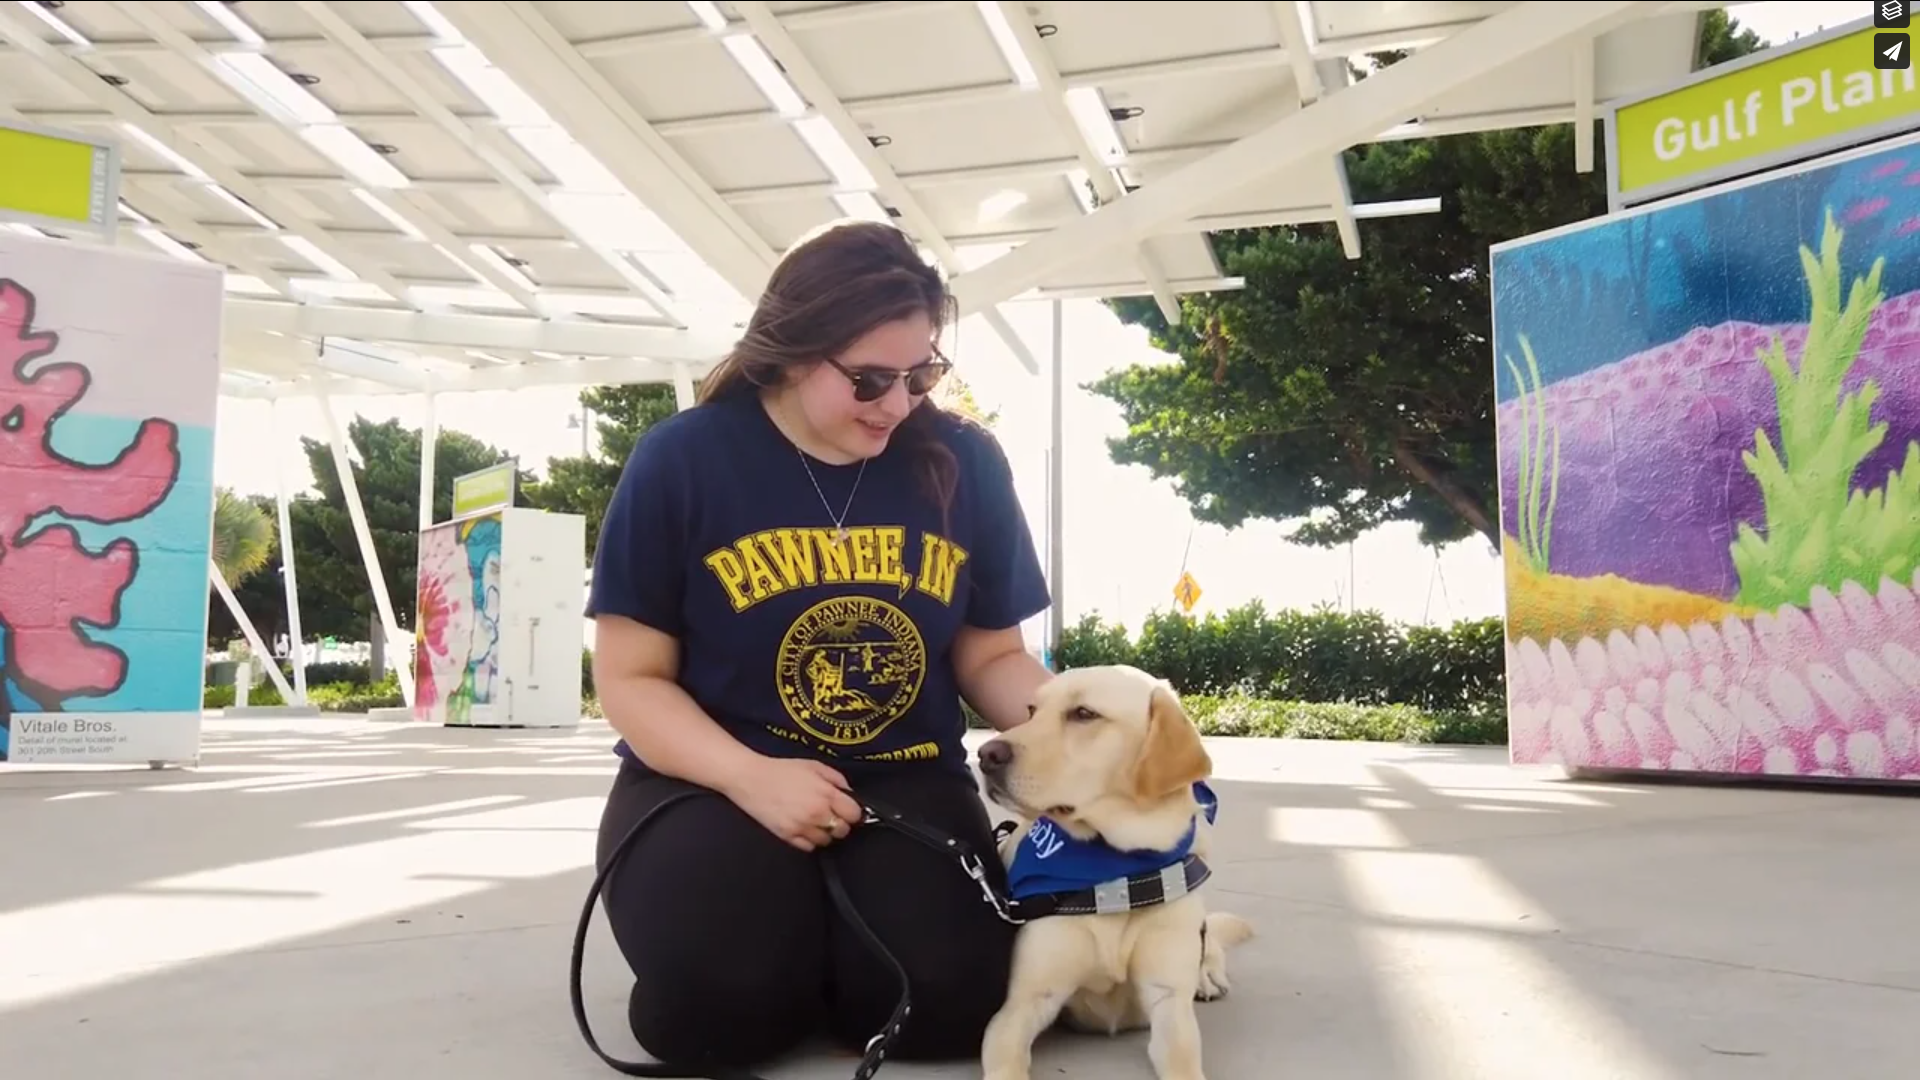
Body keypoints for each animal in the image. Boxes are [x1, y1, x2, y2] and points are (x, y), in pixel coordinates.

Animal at [967, 664, 1251, 1076]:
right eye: (1031, 710)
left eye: (1084, 714)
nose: (986, 754)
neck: (1116, 875)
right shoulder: (1023, 1003)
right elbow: (1008, 1063)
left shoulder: (1169, 1004)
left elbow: (1183, 1062)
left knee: (1209, 937)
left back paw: (1208, 975)